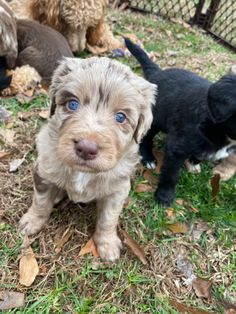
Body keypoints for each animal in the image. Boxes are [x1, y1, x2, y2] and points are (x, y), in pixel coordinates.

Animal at [19, 57, 157, 262]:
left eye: (121, 117)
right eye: (72, 104)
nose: (86, 148)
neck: (83, 173)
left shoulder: (117, 189)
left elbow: (108, 218)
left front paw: (107, 244)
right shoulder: (44, 170)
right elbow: (41, 201)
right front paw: (31, 221)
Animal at [125, 38, 236, 207]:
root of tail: (157, 72)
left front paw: (193, 161)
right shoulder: (177, 146)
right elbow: (171, 175)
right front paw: (164, 196)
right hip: (155, 119)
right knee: (146, 138)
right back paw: (148, 158)